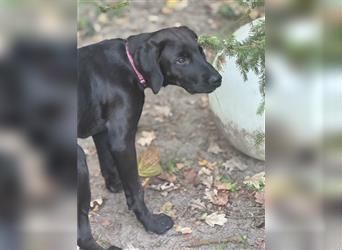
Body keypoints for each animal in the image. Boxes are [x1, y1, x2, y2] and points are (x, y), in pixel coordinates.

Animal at [77, 26, 222, 249]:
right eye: (181, 60)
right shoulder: (122, 141)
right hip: (79, 163)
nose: (218, 79)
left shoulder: (102, 131)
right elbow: (136, 189)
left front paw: (116, 185)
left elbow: (107, 163)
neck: (128, 63)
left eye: (201, 51)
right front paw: (151, 223)